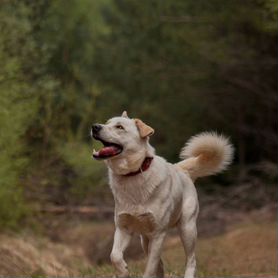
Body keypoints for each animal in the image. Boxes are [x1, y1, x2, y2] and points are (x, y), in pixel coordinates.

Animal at [91, 111, 232, 278]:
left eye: (120, 127)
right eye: (107, 123)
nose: (95, 127)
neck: (133, 174)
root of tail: (180, 169)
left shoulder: (158, 234)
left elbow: (149, 268)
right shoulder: (123, 228)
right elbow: (115, 256)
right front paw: (124, 271)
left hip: (187, 229)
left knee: (191, 259)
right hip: (145, 240)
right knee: (160, 263)